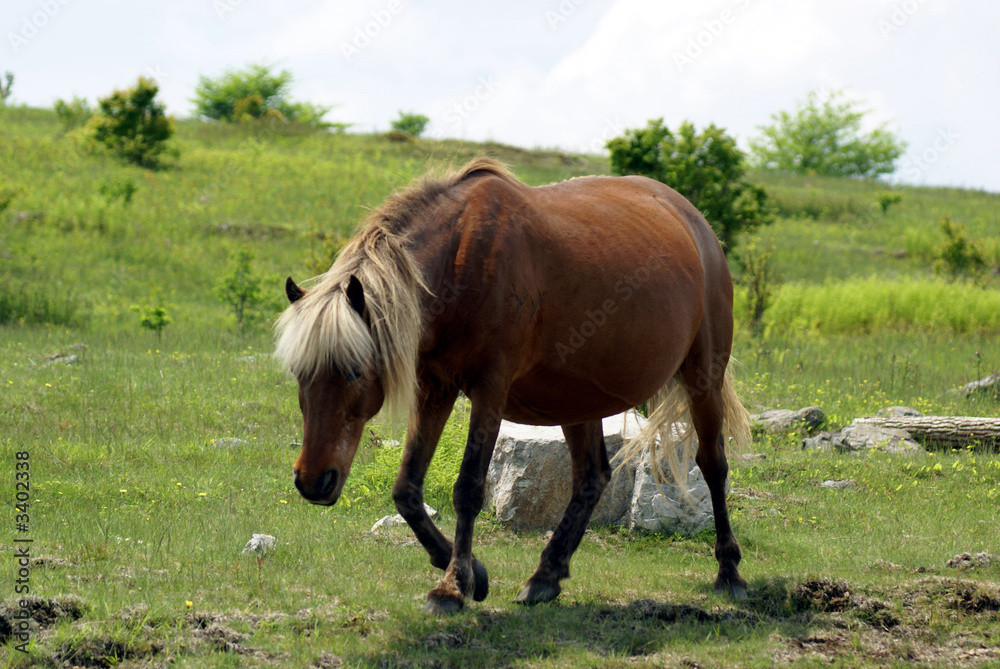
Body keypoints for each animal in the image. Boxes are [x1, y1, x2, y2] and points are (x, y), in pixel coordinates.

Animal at [274, 158, 750, 614]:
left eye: (354, 370)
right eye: (299, 372)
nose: (312, 480)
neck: (460, 259)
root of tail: (694, 221)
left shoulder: (490, 389)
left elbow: (468, 488)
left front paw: (452, 586)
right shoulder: (434, 387)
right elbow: (406, 490)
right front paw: (470, 571)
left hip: (703, 377)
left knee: (713, 465)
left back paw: (729, 573)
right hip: (576, 399)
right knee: (591, 477)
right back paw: (546, 575)